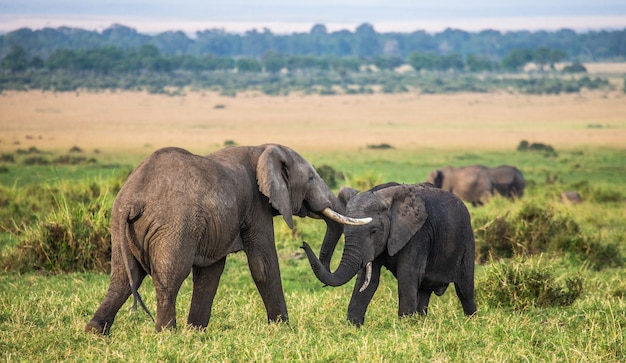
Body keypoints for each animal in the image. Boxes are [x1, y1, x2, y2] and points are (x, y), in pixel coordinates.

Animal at [84, 145, 368, 336]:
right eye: (310, 178)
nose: (303, 245)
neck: (264, 148)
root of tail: (134, 199)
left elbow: (211, 272)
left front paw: (196, 332)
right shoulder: (256, 205)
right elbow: (263, 265)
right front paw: (283, 327)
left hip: (119, 225)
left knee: (122, 277)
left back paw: (95, 331)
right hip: (174, 226)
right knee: (169, 277)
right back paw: (166, 333)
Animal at [302, 182, 472, 328]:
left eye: (374, 231)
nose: (303, 244)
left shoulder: (418, 235)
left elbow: (407, 275)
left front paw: (406, 327)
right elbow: (369, 280)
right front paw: (353, 327)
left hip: (467, 240)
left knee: (465, 289)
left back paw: (471, 321)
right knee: (425, 290)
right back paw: (421, 322)